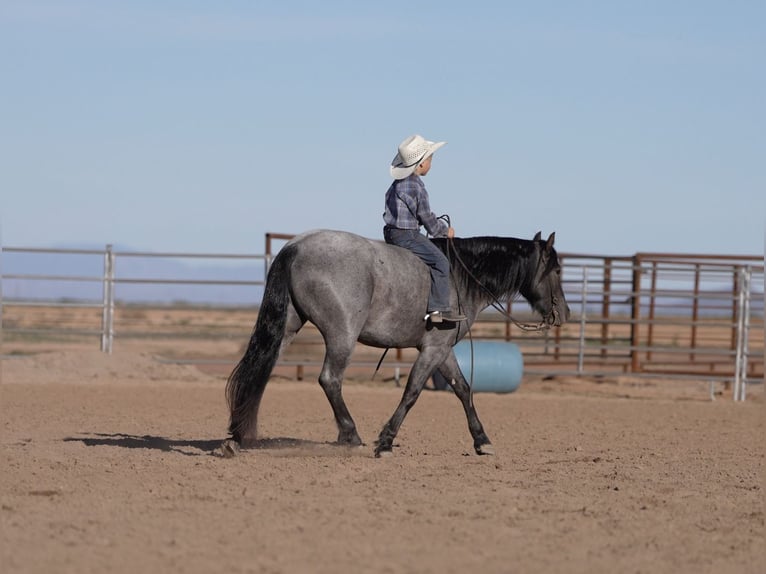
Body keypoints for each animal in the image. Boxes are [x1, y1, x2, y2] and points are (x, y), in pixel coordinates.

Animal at [222, 229, 570, 458]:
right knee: (329, 380)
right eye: (556, 269)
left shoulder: (442, 350)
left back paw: (237, 435)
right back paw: (350, 434)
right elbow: (412, 392)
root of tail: (295, 247)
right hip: (342, 335)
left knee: (260, 372)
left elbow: (463, 389)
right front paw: (386, 441)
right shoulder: (433, 349)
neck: (462, 276)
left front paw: (482, 440)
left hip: (286, 328)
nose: (564, 313)